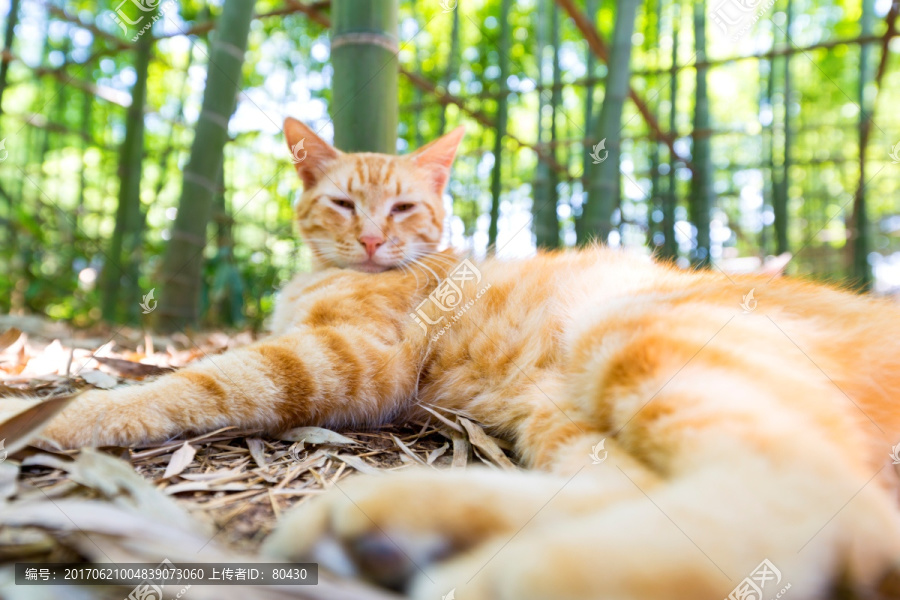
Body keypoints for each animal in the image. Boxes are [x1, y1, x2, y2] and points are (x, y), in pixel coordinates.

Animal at [35, 118, 900, 600]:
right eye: (344, 202)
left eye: (404, 206)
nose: (373, 238)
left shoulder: (354, 357)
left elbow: (213, 376)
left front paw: (67, 409)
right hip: (566, 416)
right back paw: (394, 527)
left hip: (641, 332)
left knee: (808, 492)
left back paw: (498, 576)